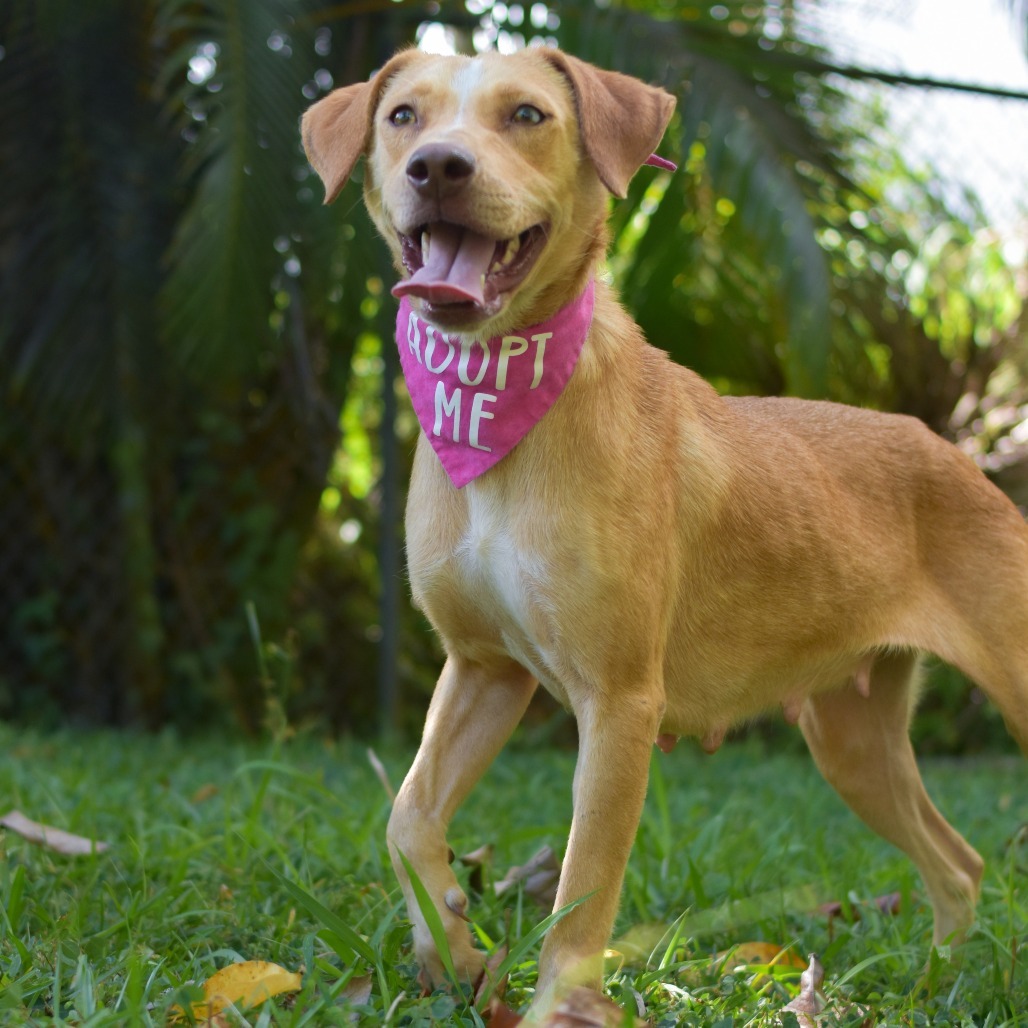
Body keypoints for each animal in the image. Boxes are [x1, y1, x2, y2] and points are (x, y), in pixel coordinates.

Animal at [300, 46, 1023, 1011]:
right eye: (403, 117)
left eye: (527, 115)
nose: (439, 168)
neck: (510, 405)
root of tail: (957, 456)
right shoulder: (483, 669)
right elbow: (408, 814)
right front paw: (453, 950)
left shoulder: (620, 703)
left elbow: (583, 885)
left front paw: (557, 1007)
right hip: (851, 740)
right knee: (960, 863)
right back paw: (934, 984)